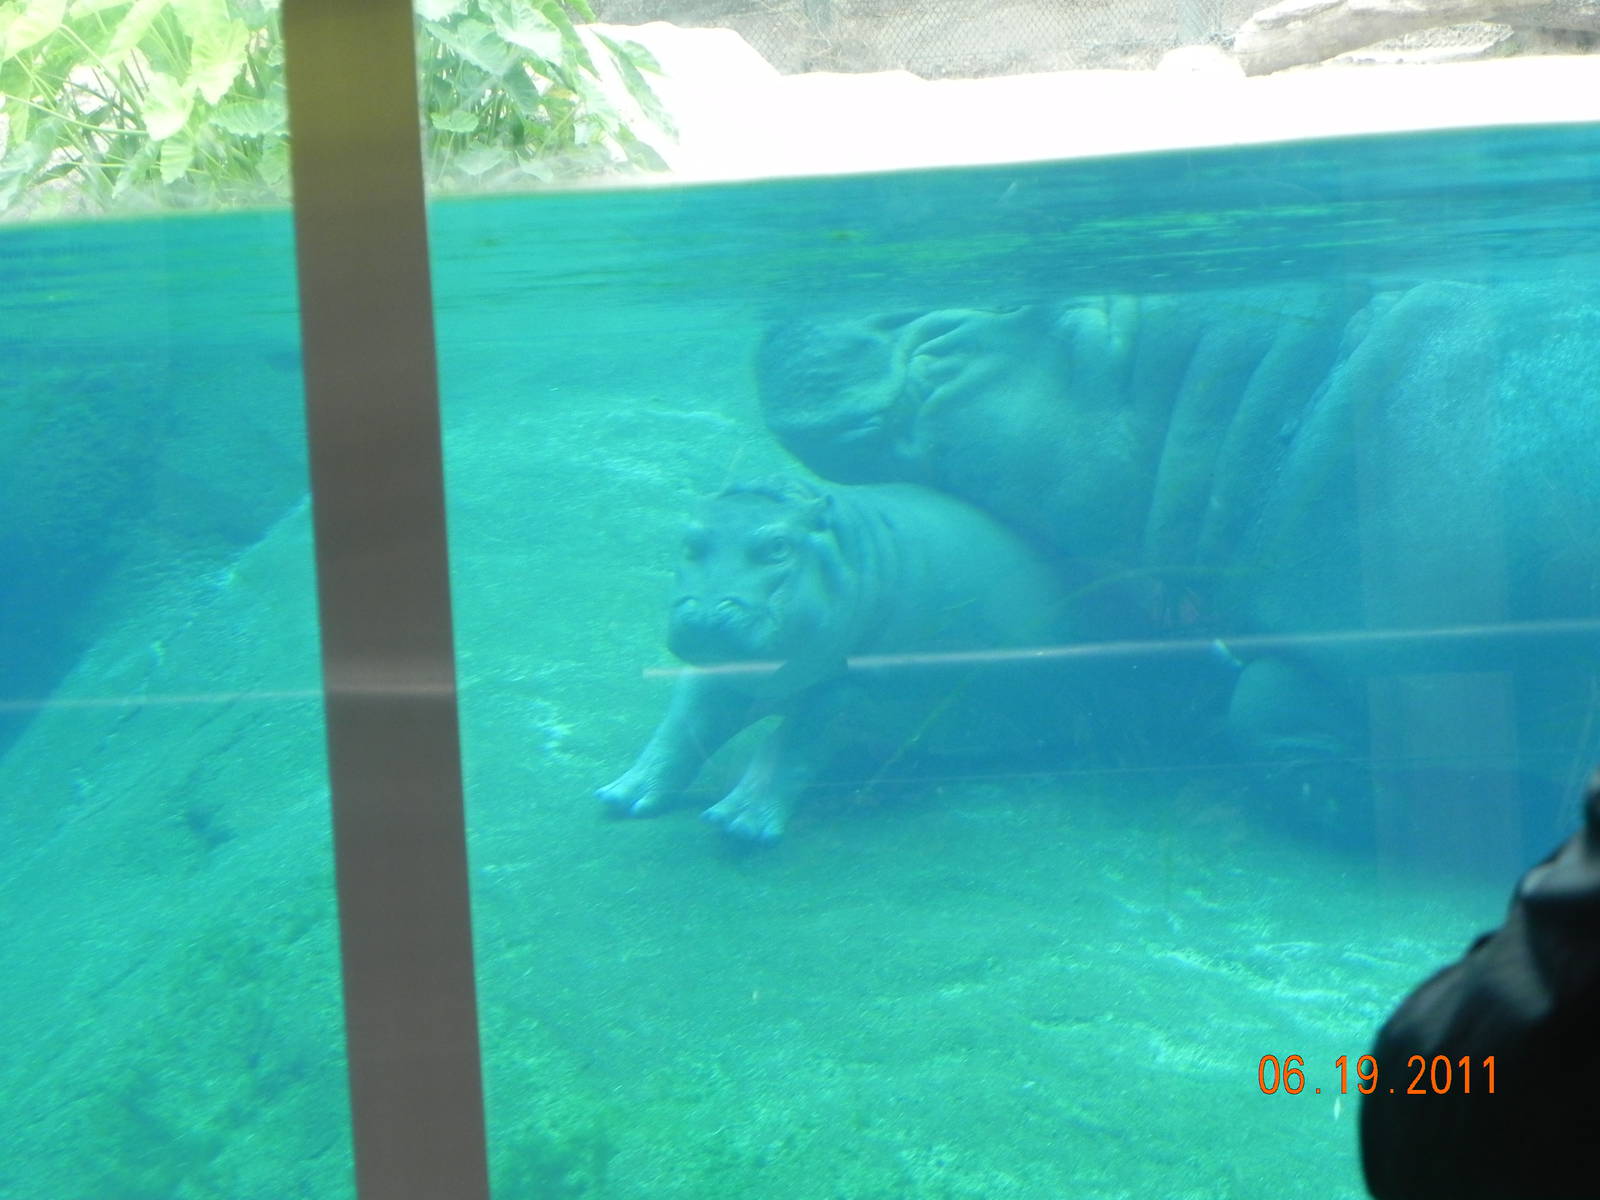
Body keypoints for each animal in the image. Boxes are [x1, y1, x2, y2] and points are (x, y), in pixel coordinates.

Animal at [597, 476, 1182, 841]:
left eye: (778, 546)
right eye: (689, 540)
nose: (702, 615)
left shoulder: (850, 690)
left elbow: (792, 744)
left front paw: (738, 824)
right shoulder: (724, 674)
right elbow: (682, 727)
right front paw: (622, 796)